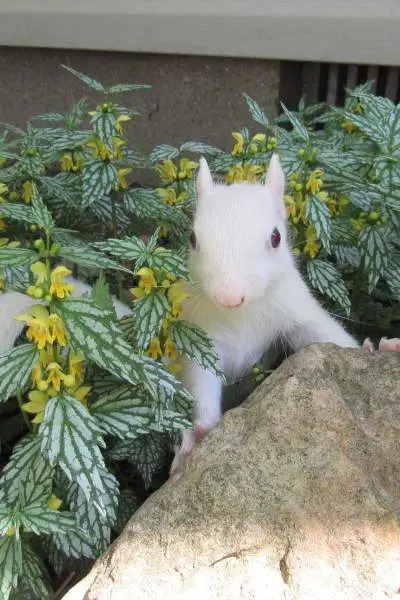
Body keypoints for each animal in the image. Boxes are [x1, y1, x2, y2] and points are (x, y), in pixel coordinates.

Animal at [0, 152, 398, 472]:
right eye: (193, 239)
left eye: (276, 237)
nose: (229, 297)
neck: (241, 316)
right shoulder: (199, 338)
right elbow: (201, 380)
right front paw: (199, 433)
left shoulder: (294, 309)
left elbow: (327, 336)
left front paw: (378, 348)